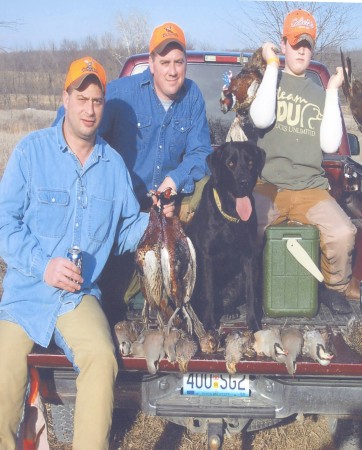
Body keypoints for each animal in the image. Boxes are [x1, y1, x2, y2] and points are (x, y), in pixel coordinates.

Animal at [185, 141, 264, 330]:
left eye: (250, 162)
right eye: (230, 164)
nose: (244, 182)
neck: (231, 216)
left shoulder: (249, 255)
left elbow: (250, 293)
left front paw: (253, 322)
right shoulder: (207, 256)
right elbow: (209, 293)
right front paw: (208, 324)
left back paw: (230, 310)